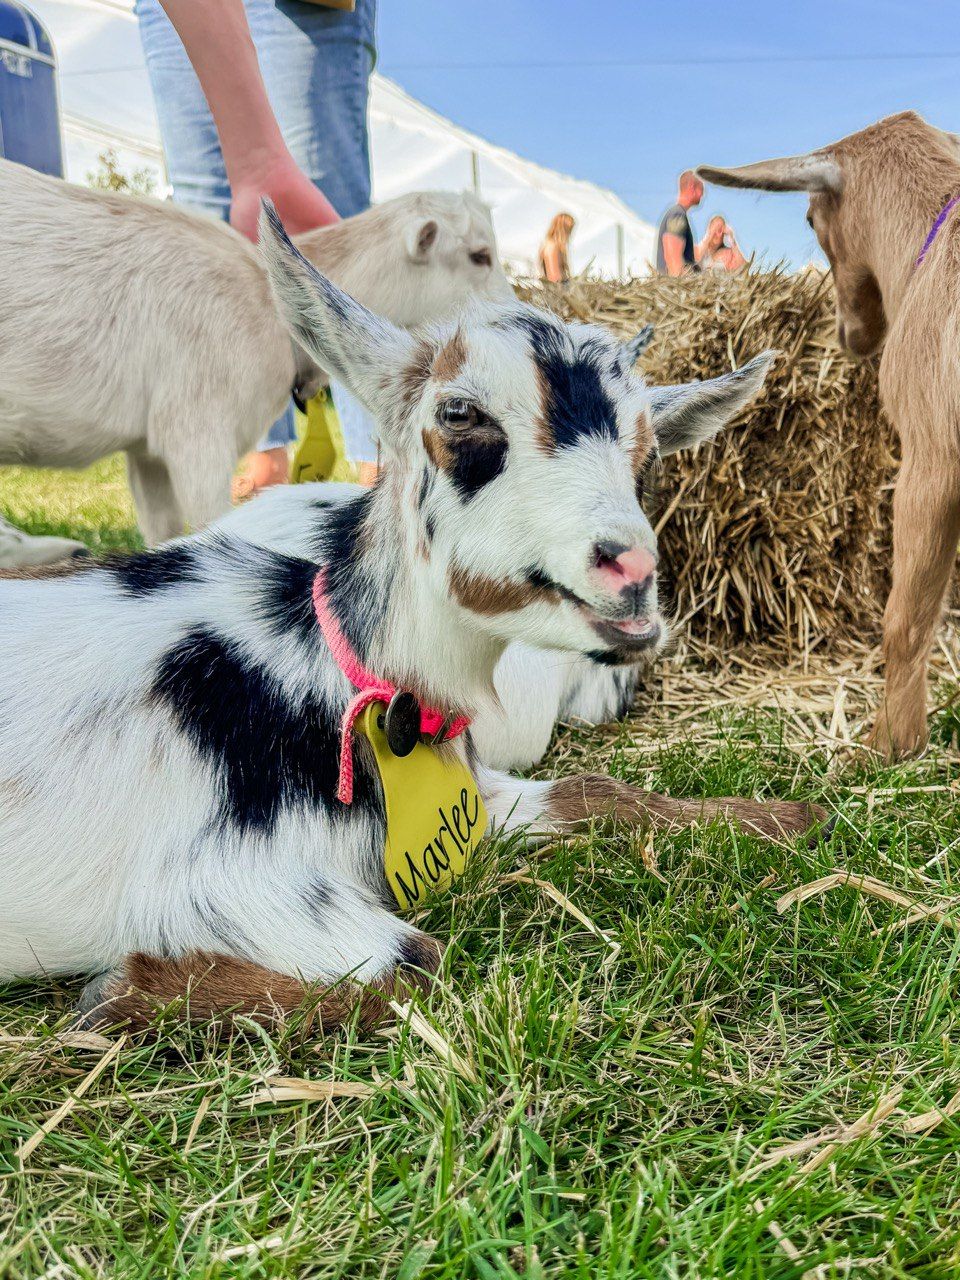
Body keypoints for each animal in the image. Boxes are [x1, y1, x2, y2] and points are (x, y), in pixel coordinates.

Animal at [0, 207, 829, 1029]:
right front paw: (120, 996)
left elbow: (597, 789)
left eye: (647, 449)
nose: (630, 571)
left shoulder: (477, 799)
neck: (324, 665)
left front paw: (790, 817)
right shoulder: (219, 883)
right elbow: (416, 965)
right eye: (459, 412)